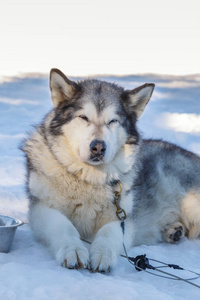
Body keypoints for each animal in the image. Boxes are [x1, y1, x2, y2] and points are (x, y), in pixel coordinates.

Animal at [21, 68, 200, 272]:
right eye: (84, 117)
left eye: (113, 121)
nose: (98, 147)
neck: (88, 178)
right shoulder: (42, 209)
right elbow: (64, 226)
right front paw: (73, 249)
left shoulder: (122, 218)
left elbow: (108, 233)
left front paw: (102, 254)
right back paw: (174, 231)